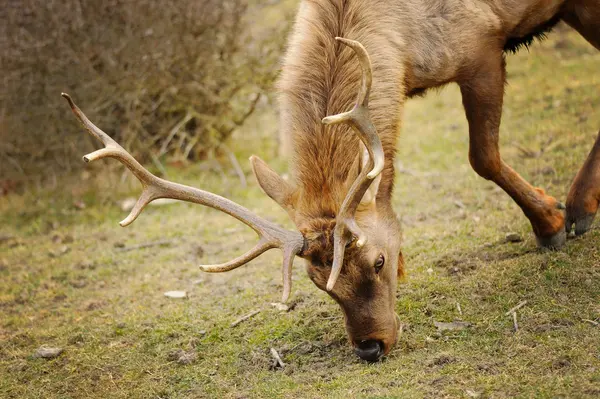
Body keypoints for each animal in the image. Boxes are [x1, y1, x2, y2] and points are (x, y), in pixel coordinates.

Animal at [65, 0, 600, 362]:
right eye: (317, 281)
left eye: (378, 261)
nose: (370, 347)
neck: (398, 46)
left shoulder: (481, 46)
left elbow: (482, 157)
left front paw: (549, 224)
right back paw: (582, 206)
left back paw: (575, 210)